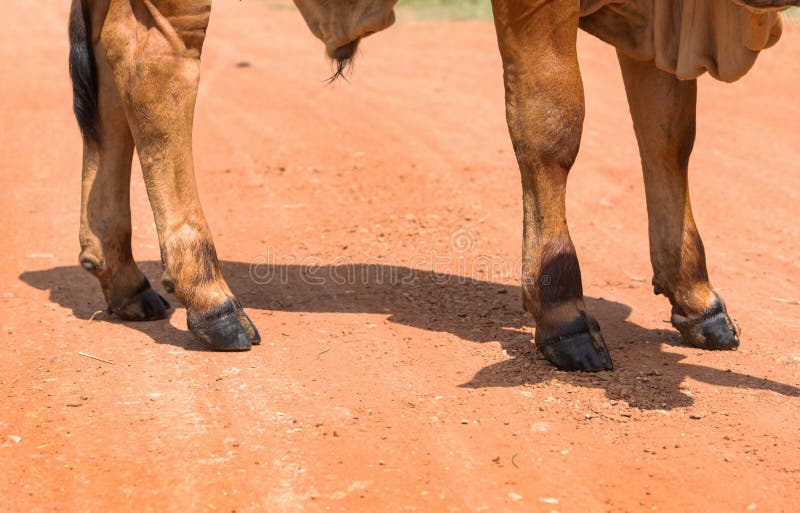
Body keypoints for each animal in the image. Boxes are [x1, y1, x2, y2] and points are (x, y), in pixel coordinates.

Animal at [67, 0, 792, 368]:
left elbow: (670, 137)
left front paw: (696, 296)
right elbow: (552, 124)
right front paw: (562, 312)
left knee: (107, 68)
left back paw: (123, 275)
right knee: (151, 63)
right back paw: (210, 297)